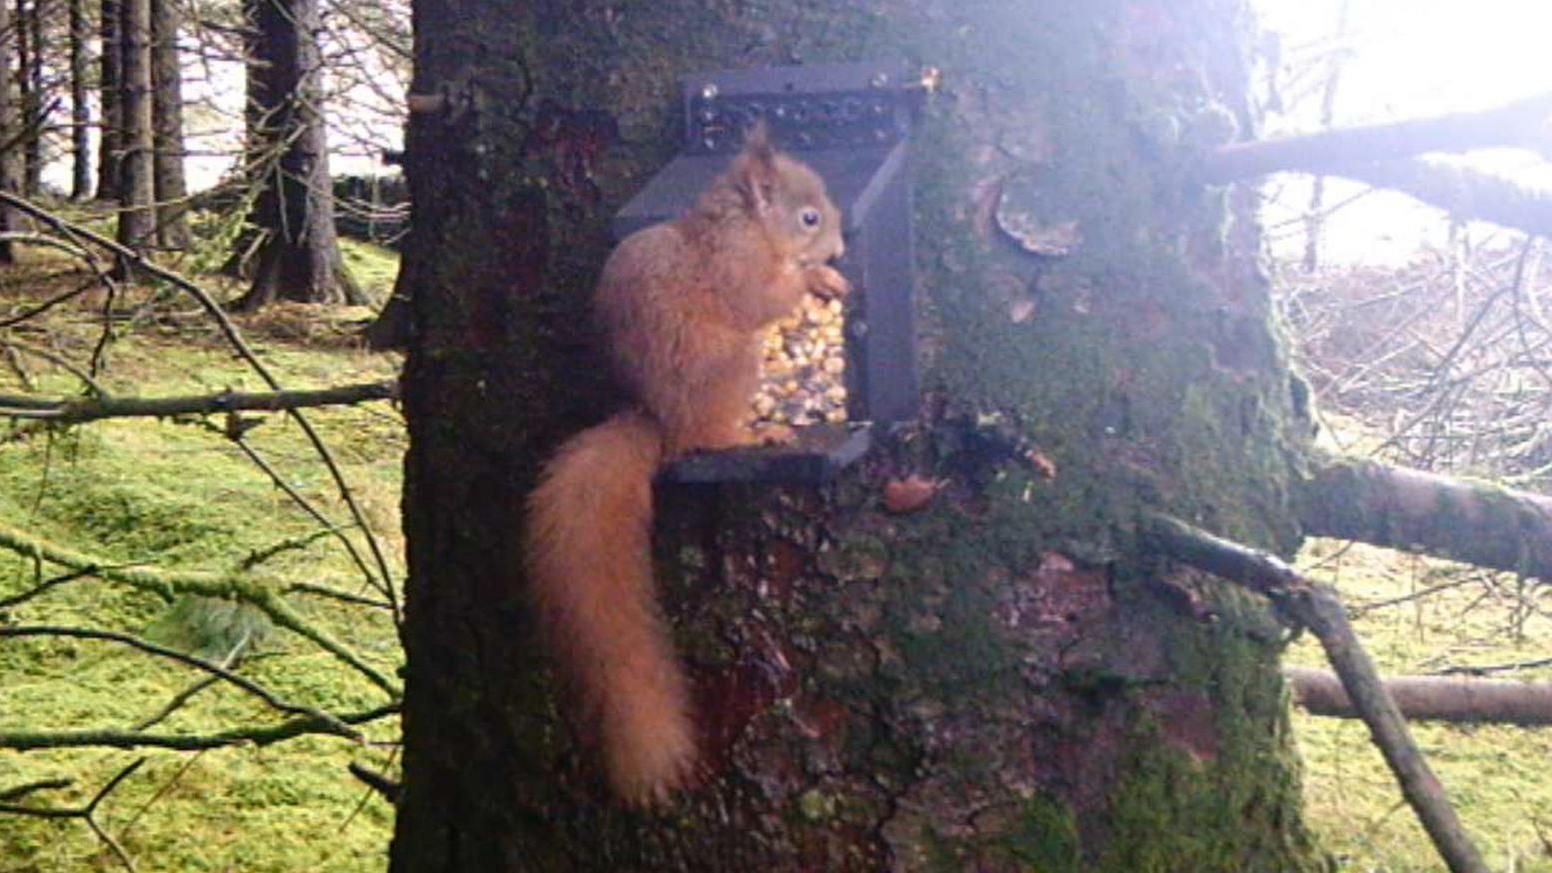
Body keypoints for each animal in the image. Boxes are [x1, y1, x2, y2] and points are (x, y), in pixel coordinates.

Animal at [530, 124, 850, 801]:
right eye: (808, 217)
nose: (838, 249)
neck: (744, 225)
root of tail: (664, 424)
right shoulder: (738, 269)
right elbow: (763, 300)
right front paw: (817, 280)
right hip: (734, 371)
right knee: (713, 436)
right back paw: (754, 435)